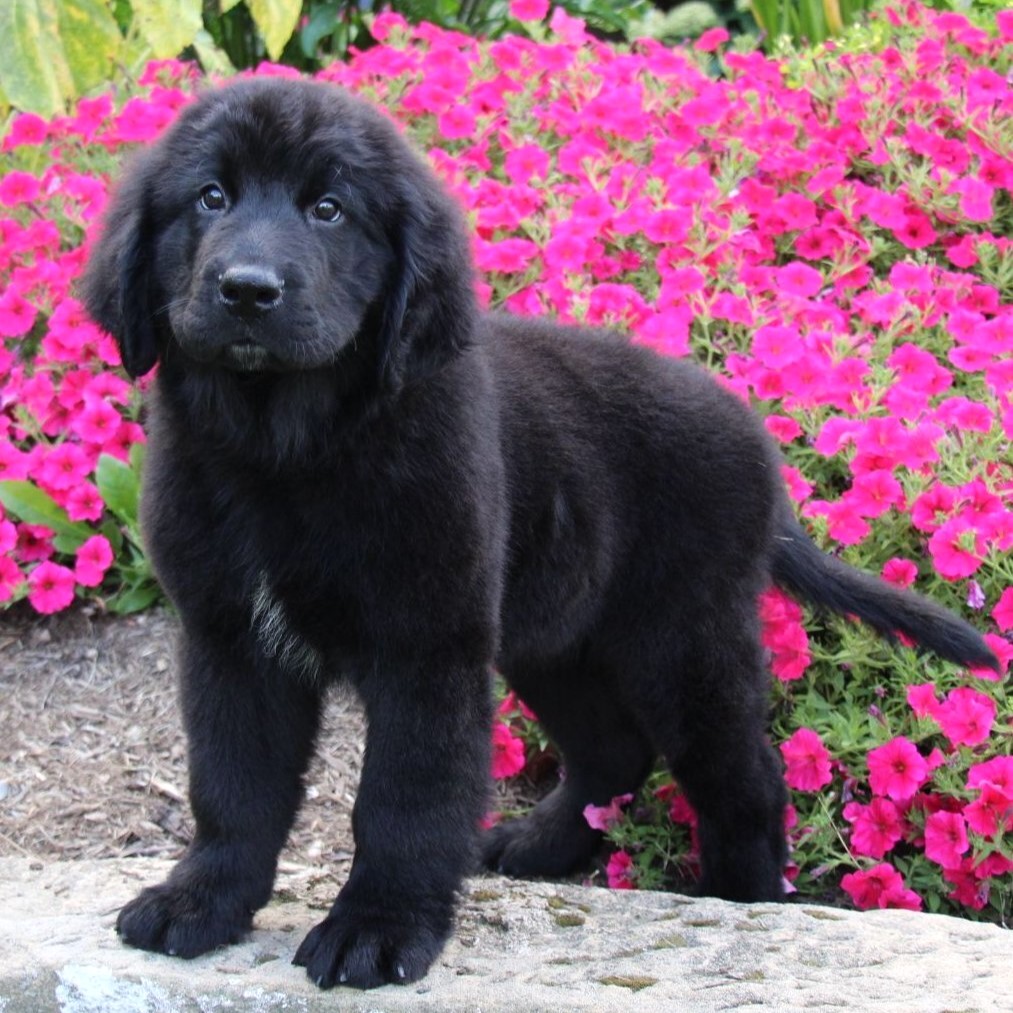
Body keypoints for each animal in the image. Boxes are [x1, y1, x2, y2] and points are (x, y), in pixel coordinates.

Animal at [81, 79, 996, 988]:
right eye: (210, 197)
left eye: (329, 209)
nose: (247, 289)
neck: (285, 454)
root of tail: (761, 451)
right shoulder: (230, 639)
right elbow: (233, 786)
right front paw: (204, 899)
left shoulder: (427, 649)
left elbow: (404, 799)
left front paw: (378, 925)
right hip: (556, 635)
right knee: (613, 749)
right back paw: (541, 844)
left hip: (681, 638)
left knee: (745, 776)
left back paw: (740, 902)